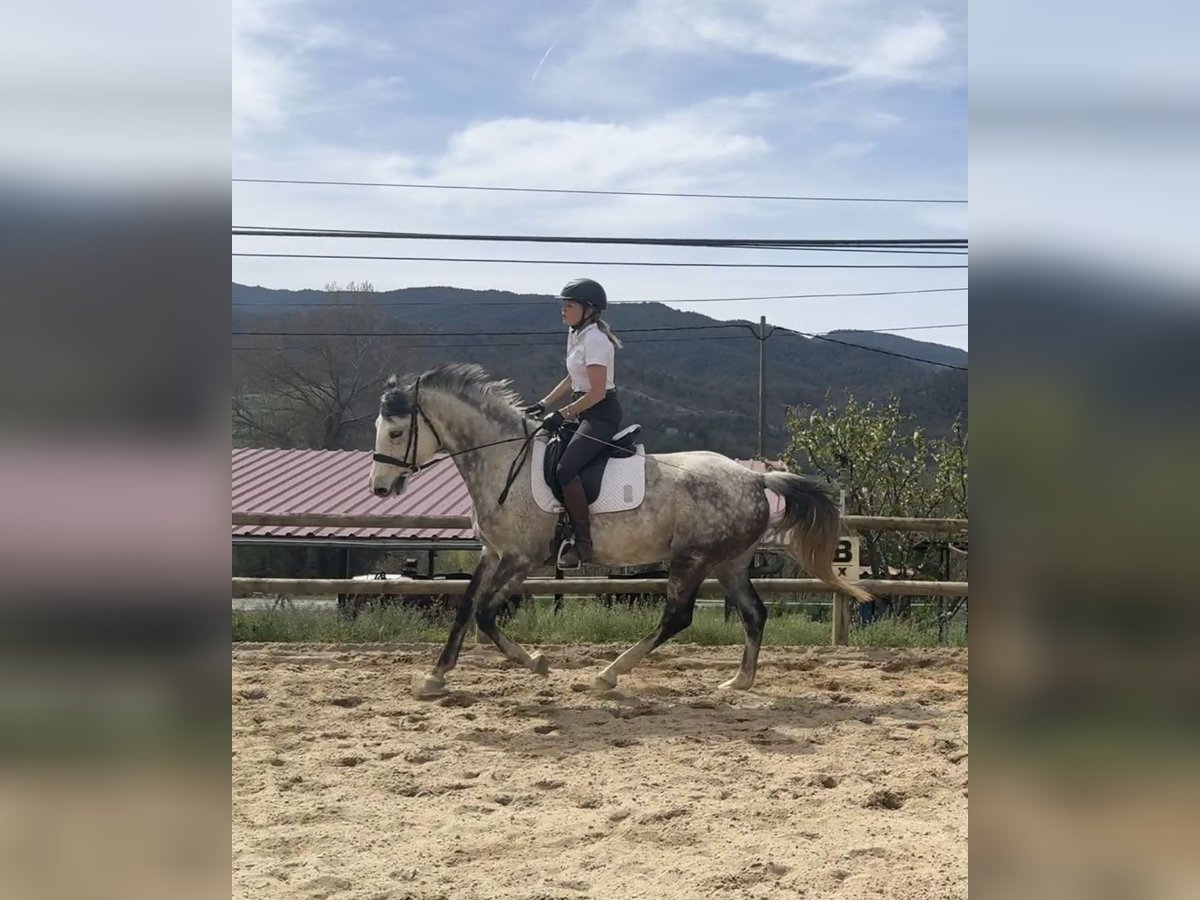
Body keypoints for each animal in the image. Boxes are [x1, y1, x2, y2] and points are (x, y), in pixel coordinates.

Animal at [367, 364, 873, 696]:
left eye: (395, 433)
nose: (380, 488)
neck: (502, 459)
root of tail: (753, 479)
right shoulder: (493, 553)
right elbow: (466, 608)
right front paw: (435, 676)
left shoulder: (522, 557)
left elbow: (488, 615)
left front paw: (536, 663)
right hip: (727, 562)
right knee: (753, 614)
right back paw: (739, 681)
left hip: (692, 559)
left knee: (678, 617)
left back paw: (609, 674)